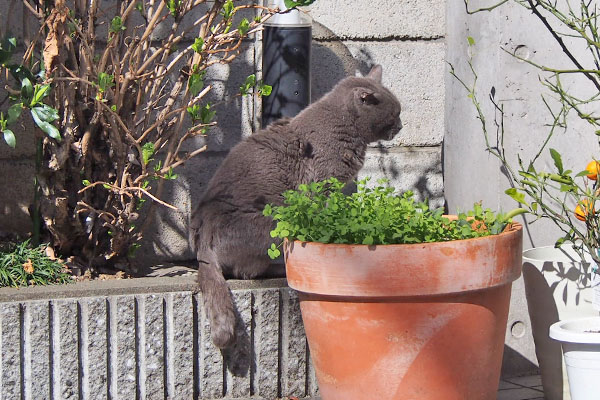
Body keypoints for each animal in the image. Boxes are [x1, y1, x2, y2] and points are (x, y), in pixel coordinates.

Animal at [188, 65, 404, 346]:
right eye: (394, 114)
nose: (400, 126)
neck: (345, 128)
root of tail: (201, 240)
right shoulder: (323, 185)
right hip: (269, 223)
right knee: (246, 269)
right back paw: (280, 267)